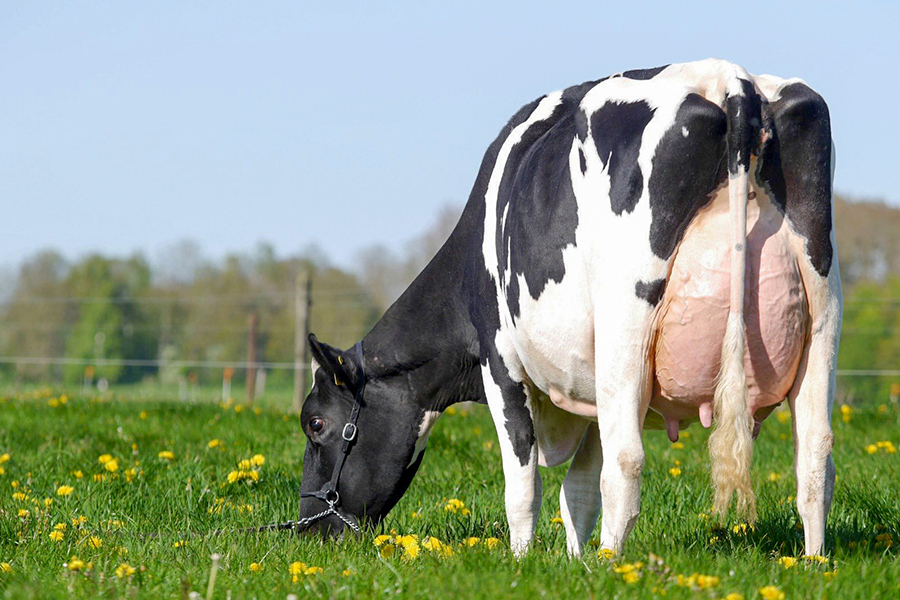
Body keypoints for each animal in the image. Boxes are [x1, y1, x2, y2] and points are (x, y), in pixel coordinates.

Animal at [297, 58, 842, 559]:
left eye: (316, 423)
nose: (305, 531)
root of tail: (732, 79)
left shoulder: (500, 364)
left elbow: (524, 488)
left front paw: (523, 561)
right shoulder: (590, 389)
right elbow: (577, 492)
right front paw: (573, 561)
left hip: (627, 322)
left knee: (627, 461)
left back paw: (612, 565)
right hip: (821, 311)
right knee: (816, 455)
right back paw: (813, 563)